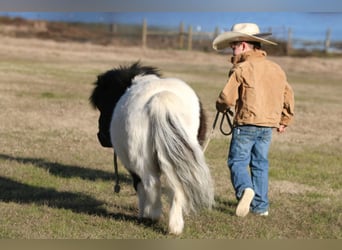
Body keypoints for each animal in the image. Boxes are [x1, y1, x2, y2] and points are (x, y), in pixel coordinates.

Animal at [91, 61, 214, 233]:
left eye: (103, 104)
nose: (101, 137)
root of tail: (160, 100)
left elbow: (139, 187)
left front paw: (142, 213)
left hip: (141, 159)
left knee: (151, 183)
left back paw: (151, 216)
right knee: (176, 186)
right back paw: (175, 226)